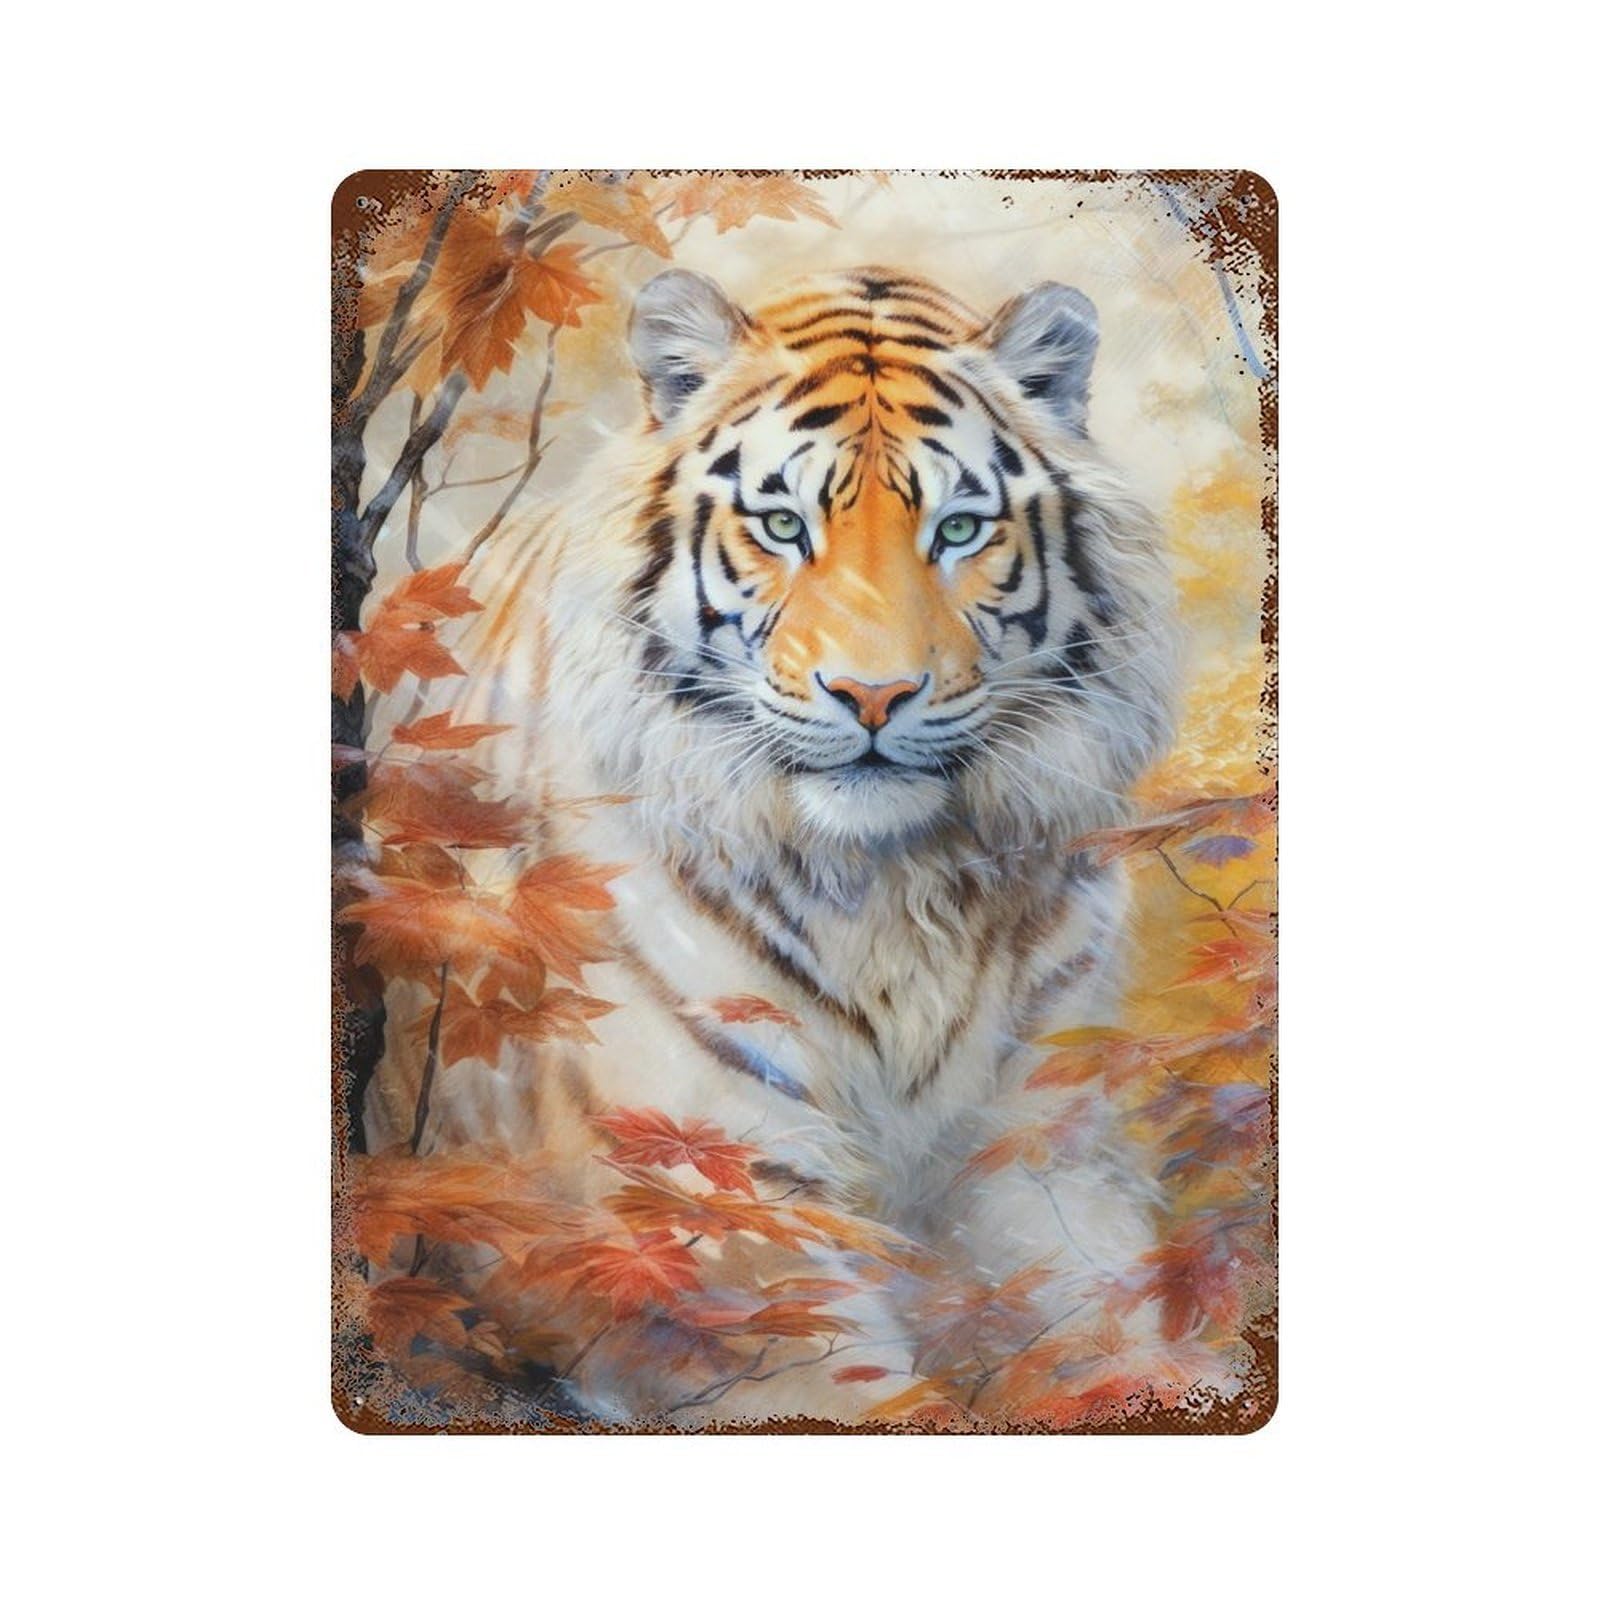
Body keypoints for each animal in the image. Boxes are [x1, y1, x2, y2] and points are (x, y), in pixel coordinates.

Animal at [360, 266, 1180, 1423]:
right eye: (784, 524)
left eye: (960, 529)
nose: (874, 694)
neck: (899, 892)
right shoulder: (707, 1214)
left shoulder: (1043, 1160)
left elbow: (1118, 1345)